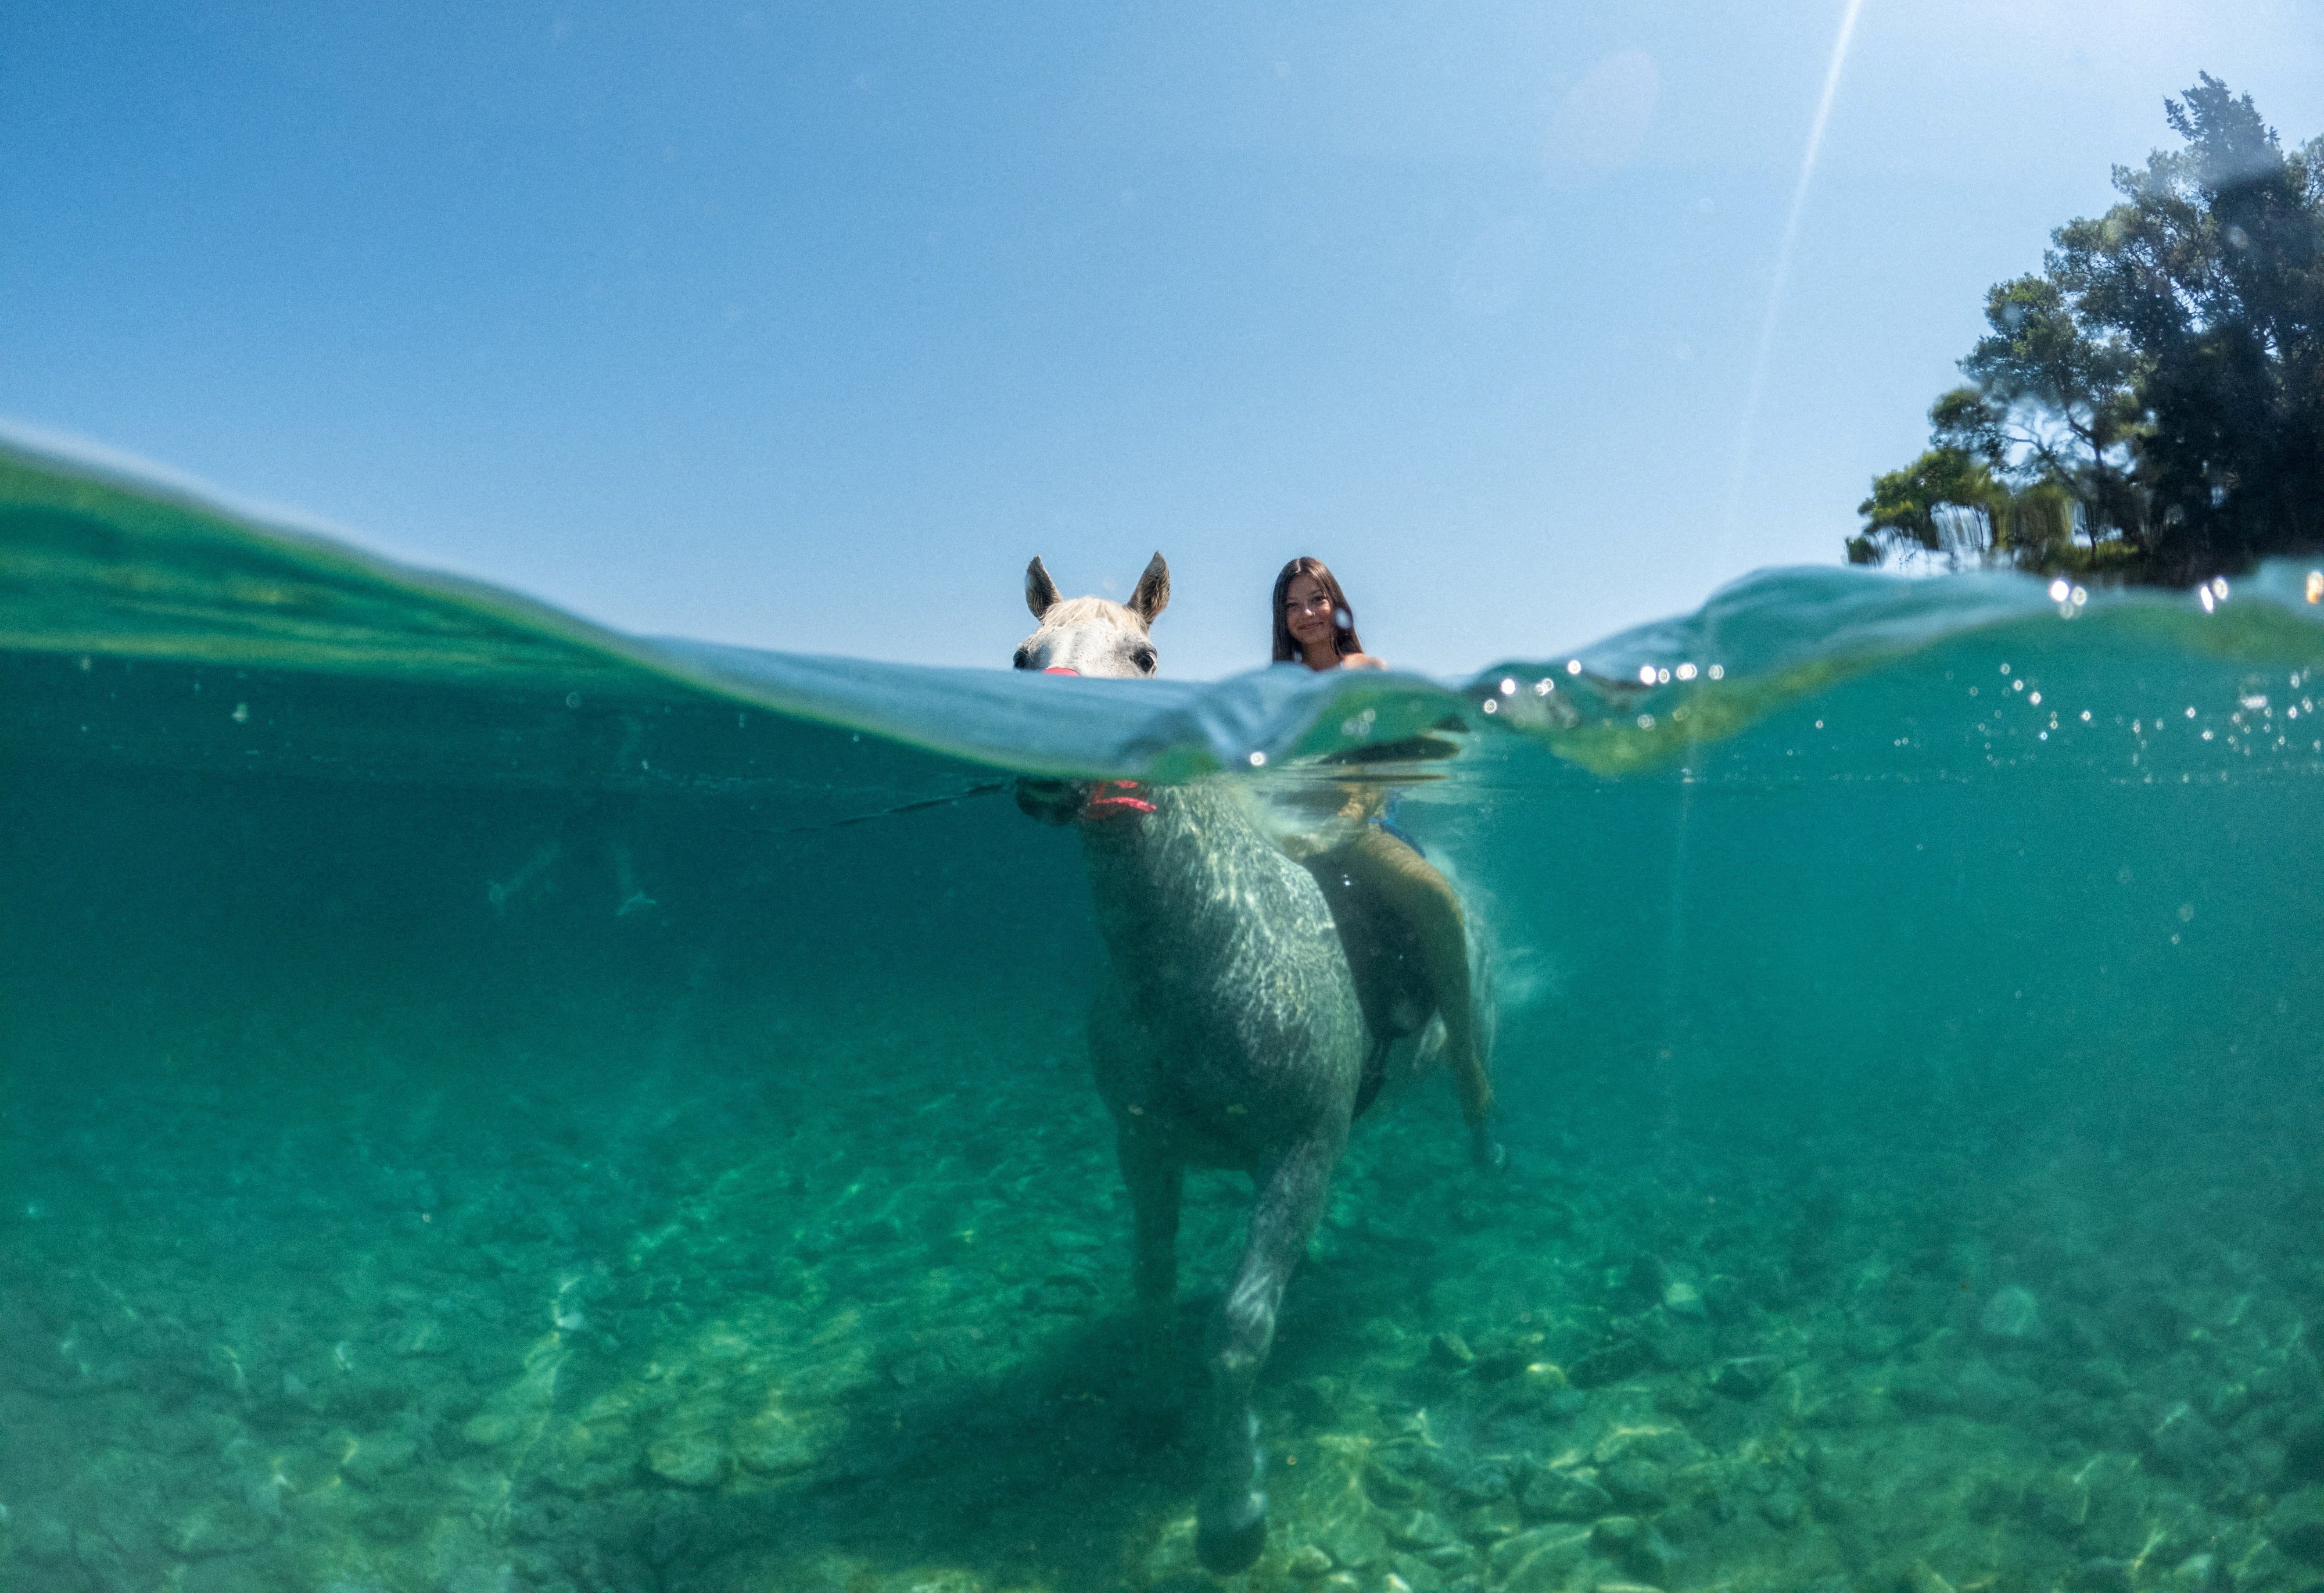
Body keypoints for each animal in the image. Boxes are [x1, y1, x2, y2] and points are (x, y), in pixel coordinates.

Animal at [1011, 552, 1489, 1575]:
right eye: (1024, 659)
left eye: (1146, 659)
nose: (1052, 768)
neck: (1199, 952)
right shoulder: (1145, 1147)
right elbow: (1154, 1283)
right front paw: (1154, 1409)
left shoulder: (1300, 1149)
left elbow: (1237, 1330)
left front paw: (1232, 1511)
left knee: (1475, 1060)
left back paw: (1486, 1140)